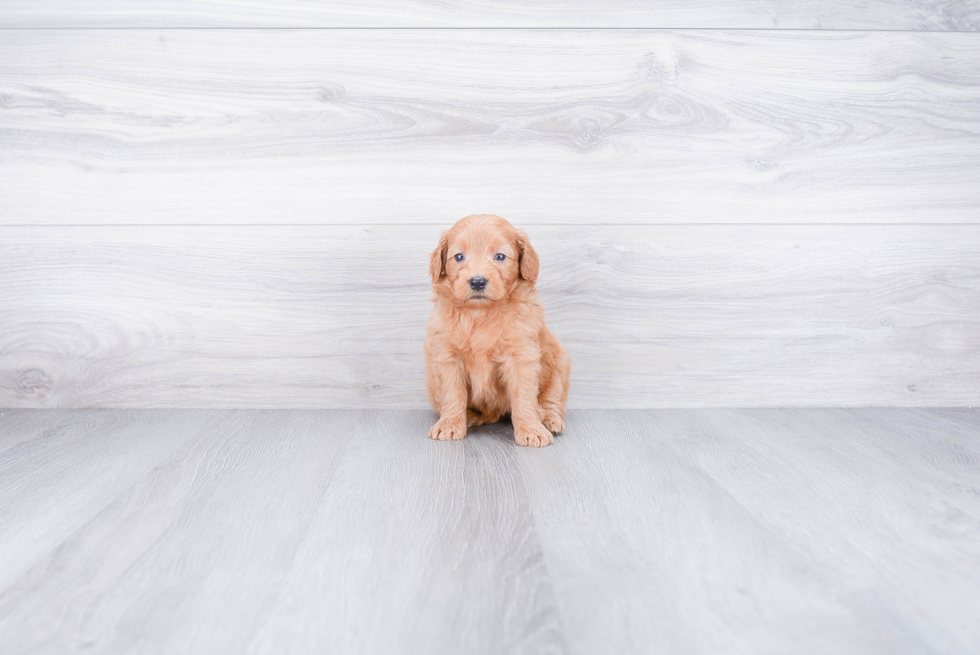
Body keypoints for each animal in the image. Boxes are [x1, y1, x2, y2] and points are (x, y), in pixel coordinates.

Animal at [424, 214, 572, 446]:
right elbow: (452, 393)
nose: (477, 281)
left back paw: (547, 418)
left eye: (500, 256)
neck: (480, 313)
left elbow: (523, 396)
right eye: (459, 257)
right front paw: (450, 424)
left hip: (559, 364)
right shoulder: (448, 357)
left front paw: (531, 429)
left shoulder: (521, 356)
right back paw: (471, 416)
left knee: (552, 398)